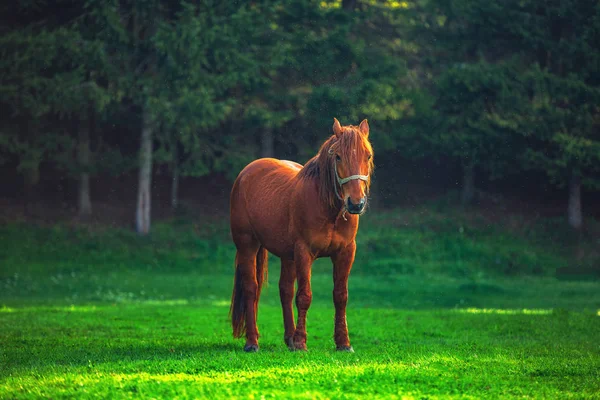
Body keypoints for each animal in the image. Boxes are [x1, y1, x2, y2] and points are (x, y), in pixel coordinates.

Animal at [231, 117, 376, 352]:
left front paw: (343, 343)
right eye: (338, 156)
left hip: (287, 256)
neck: (328, 209)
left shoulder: (345, 253)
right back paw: (252, 342)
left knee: (285, 290)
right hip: (247, 246)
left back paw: (288, 338)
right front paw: (301, 343)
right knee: (252, 288)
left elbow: (340, 296)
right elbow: (304, 296)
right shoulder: (304, 252)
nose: (356, 203)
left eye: (368, 155)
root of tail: (247, 172)